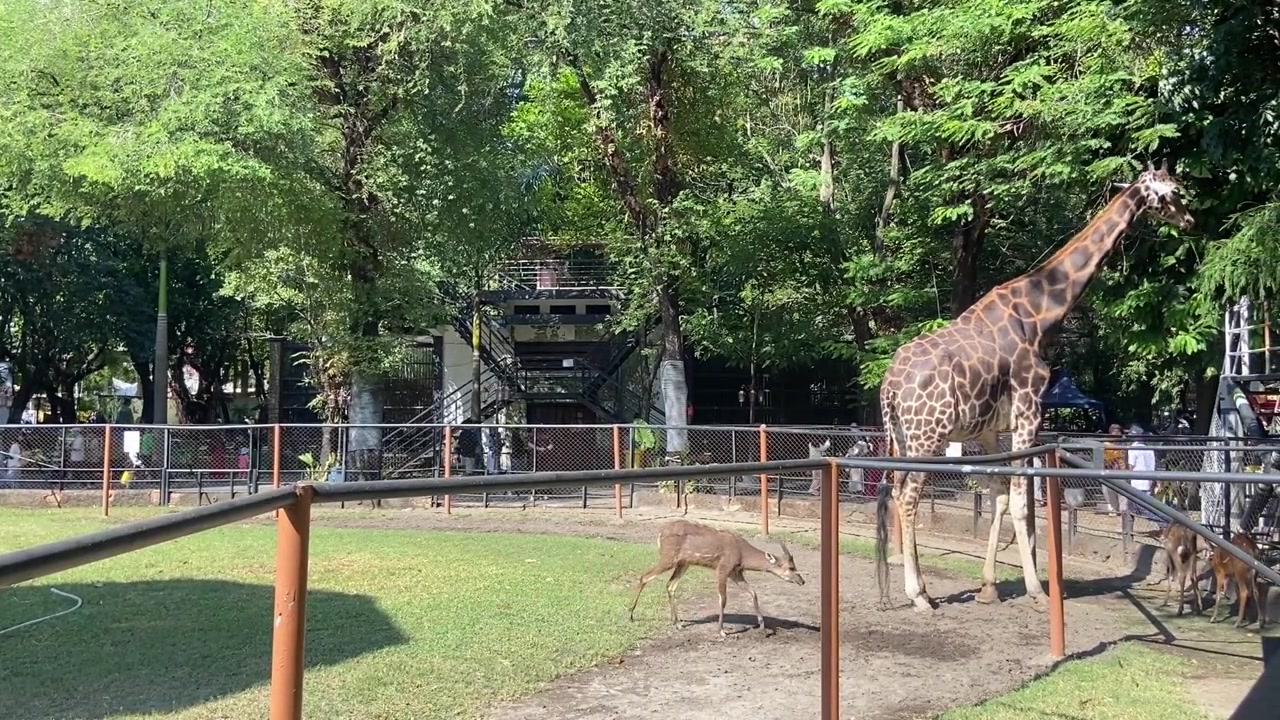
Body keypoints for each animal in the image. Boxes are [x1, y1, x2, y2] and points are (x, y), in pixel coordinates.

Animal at [875, 161, 1195, 613]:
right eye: (1172, 191)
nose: (1190, 221)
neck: (1041, 313)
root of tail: (889, 385)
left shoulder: (992, 430)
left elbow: (999, 496)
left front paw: (990, 588)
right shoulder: (1031, 409)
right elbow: (1023, 500)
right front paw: (1037, 589)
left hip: (902, 437)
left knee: (896, 493)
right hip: (927, 436)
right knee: (907, 497)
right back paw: (919, 595)